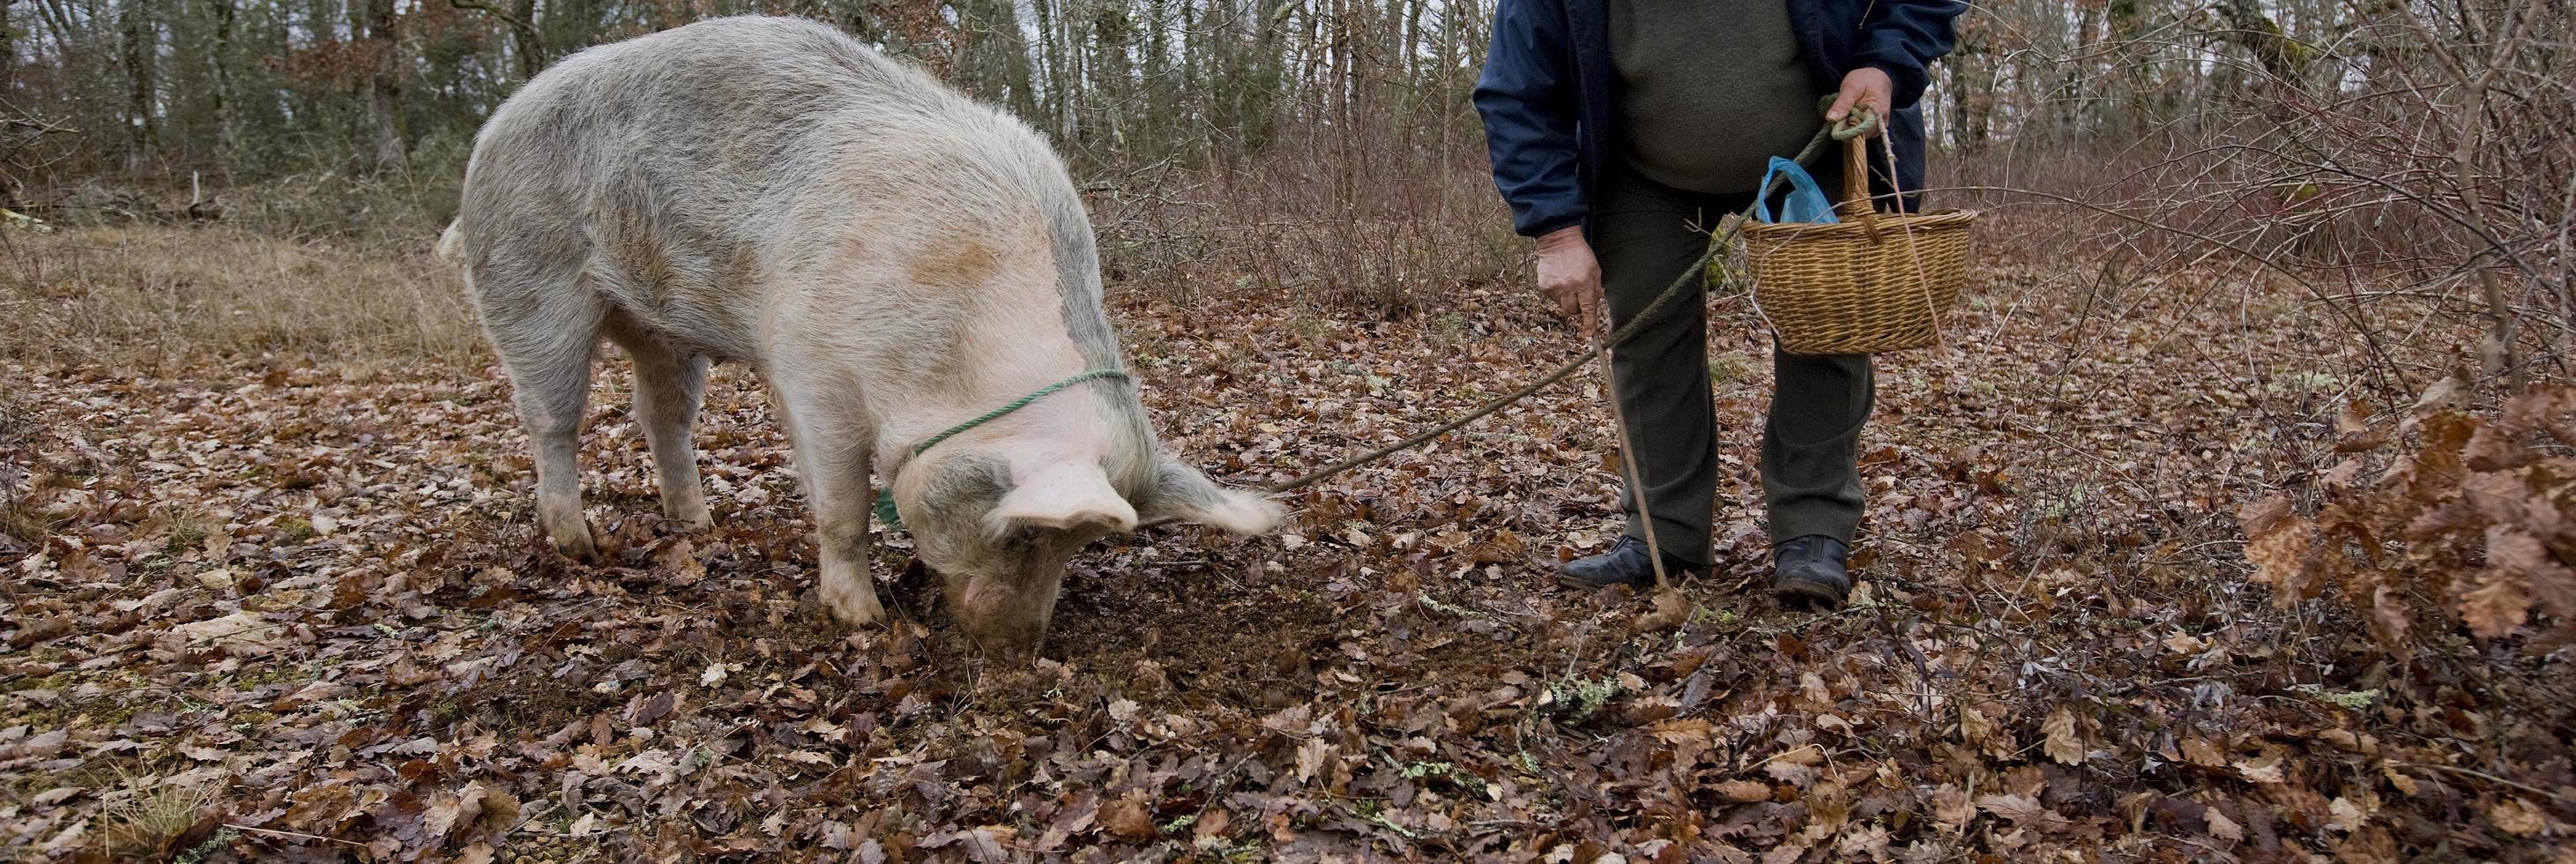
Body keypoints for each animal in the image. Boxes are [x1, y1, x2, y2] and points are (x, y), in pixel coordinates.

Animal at [450, 15, 1288, 650]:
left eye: (1079, 547)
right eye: (1024, 535)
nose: (1017, 648)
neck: (954, 356)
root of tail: (491, 129)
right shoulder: (810, 368)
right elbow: (841, 506)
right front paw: (862, 619)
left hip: (663, 334)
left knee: (661, 417)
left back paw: (700, 521)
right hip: (529, 285)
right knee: (552, 419)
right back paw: (577, 544)